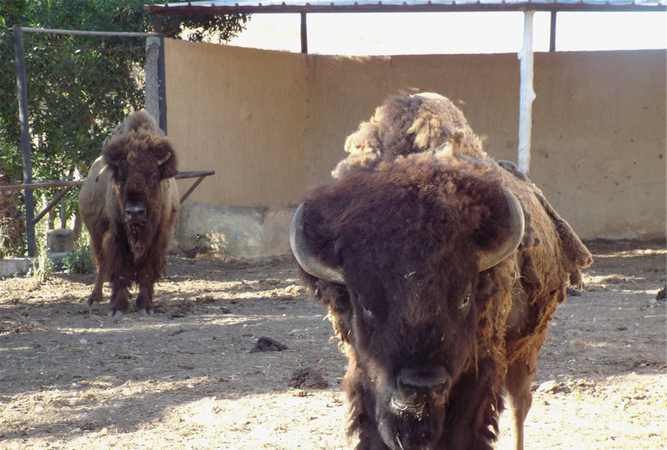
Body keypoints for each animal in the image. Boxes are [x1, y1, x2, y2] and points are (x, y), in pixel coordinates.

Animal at [79, 110, 180, 318]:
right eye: (121, 177)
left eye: (153, 176)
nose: (135, 212)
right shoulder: (117, 236)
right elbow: (120, 272)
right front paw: (118, 308)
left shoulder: (158, 238)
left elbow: (146, 272)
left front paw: (146, 306)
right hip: (96, 234)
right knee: (101, 265)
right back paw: (94, 299)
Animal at [290, 92, 592, 450]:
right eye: (365, 305)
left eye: (464, 298)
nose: (422, 385)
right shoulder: (364, 374)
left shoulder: (478, 373)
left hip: (527, 345)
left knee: (520, 404)